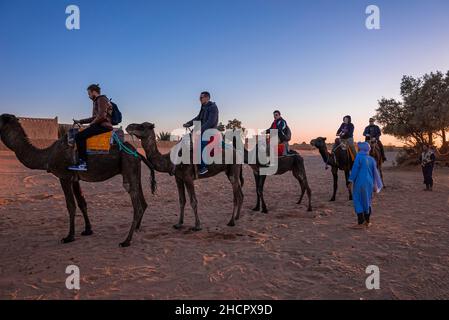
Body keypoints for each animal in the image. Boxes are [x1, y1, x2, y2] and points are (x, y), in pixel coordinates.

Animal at [0, 114, 157, 248]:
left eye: (1, 119)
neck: (48, 155)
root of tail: (137, 152)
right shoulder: (75, 178)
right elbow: (82, 203)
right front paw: (88, 230)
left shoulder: (64, 176)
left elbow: (70, 205)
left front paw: (69, 237)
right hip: (134, 170)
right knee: (142, 201)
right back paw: (136, 229)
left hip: (128, 166)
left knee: (136, 203)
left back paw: (126, 241)